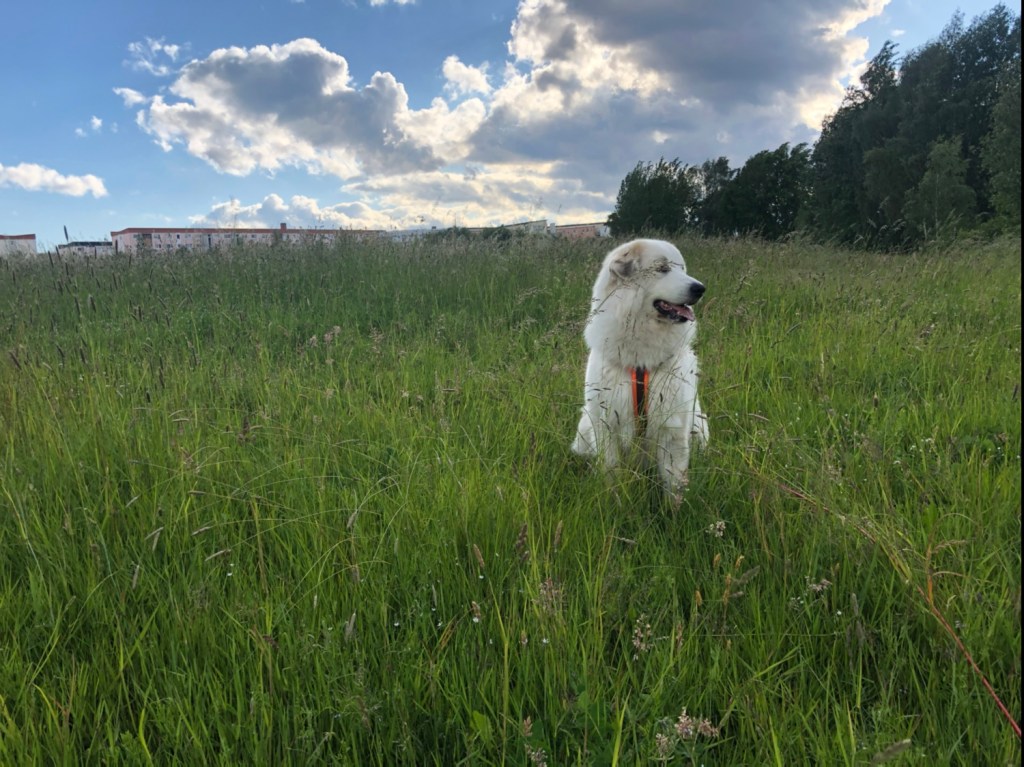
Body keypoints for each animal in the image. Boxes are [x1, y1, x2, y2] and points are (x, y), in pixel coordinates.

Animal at [571, 238, 708, 500]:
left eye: (682, 269)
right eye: (663, 269)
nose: (700, 288)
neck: (641, 364)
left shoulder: (672, 427)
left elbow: (674, 483)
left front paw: (674, 510)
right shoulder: (606, 423)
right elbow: (611, 472)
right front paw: (615, 502)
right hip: (585, 425)